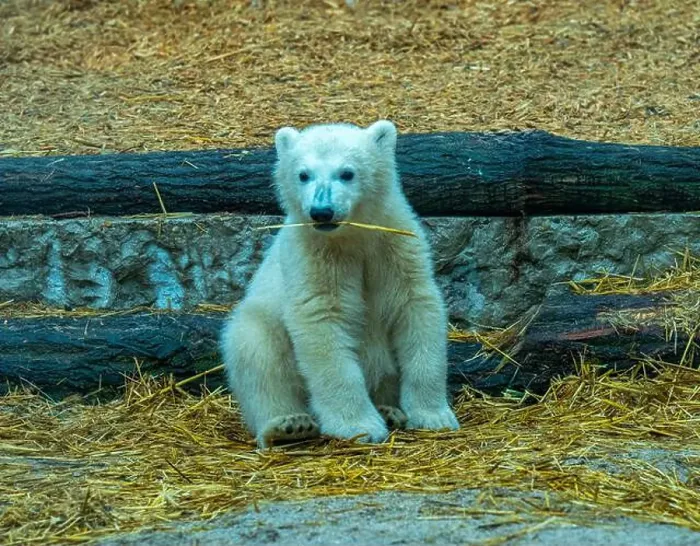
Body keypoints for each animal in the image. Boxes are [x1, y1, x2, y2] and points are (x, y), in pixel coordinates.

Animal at [220, 119, 459, 448]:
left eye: (347, 173)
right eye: (303, 174)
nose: (322, 211)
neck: (352, 237)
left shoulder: (396, 247)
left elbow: (416, 308)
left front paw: (433, 416)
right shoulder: (314, 256)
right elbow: (322, 319)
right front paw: (359, 426)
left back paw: (389, 411)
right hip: (260, 322)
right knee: (257, 353)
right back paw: (288, 425)